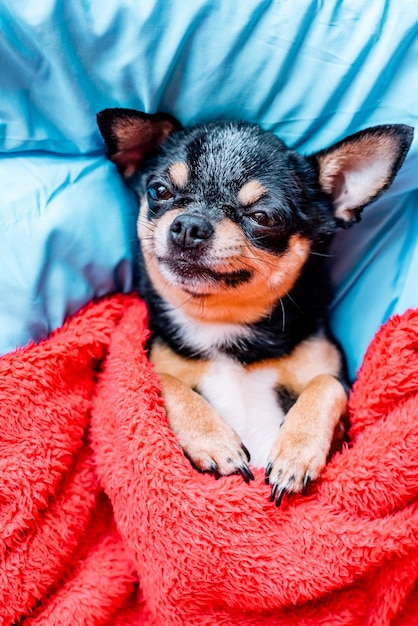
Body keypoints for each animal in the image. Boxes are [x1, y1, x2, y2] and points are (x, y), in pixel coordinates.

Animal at [95, 108, 412, 508]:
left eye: (264, 217)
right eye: (159, 191)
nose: (189, 225)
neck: (225, 326)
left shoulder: (342, 418)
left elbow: (326, 384)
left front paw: (296, 453)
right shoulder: (151, 362)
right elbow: (162, 380)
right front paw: (213, 440)